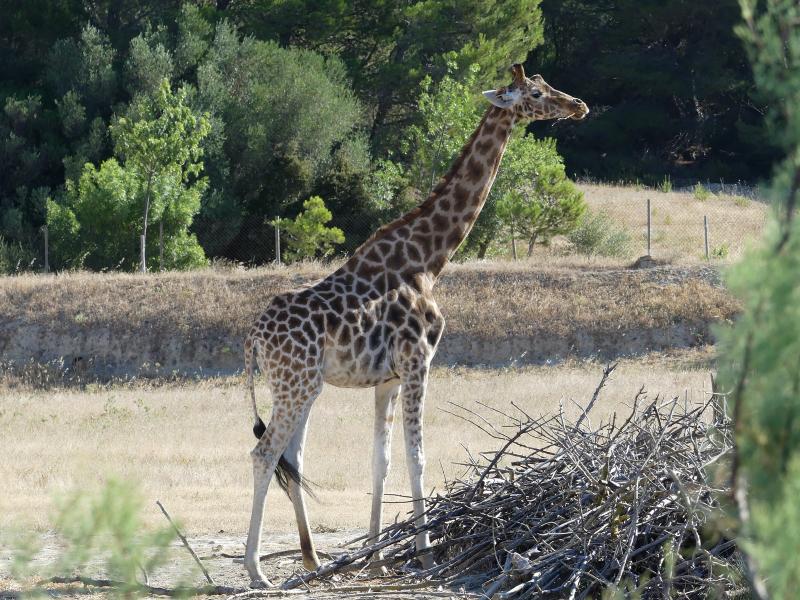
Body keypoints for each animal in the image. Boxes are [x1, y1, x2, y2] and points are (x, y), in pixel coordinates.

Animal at [242, 63, 588, 587]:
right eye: (534, 92)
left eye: (548, 85)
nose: (577, 105)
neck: (428, 260)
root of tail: (254, 339)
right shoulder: (418, 361)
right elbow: (417, 456)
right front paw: (425, 556)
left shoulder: (386, 377)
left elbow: (380, 461)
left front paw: (374, 557)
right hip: (295, 384)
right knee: (264, 455)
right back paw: (256, 571)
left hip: (303, 386)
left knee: (292, 458)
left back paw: (314, 560)